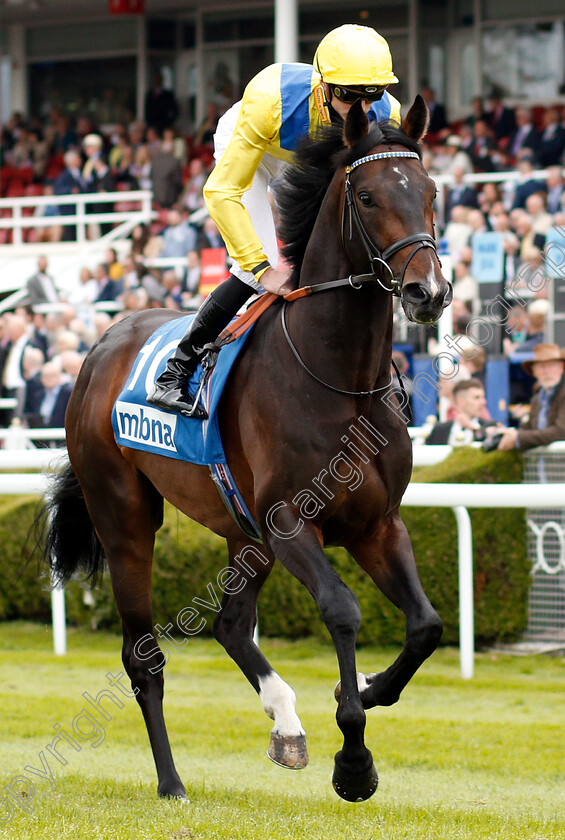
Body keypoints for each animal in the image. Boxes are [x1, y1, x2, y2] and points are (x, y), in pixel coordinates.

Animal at [40, 97, 450, 800]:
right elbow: (342, 609)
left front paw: (370, 689)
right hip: (125, 517)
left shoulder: (377, 523)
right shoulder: (290, 523)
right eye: (368, 197)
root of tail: (103, 343)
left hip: (243, 530)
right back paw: (172, 783)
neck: (338, 374)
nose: (429, 292)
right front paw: (354, 759)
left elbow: (426, 625)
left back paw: (285, 722)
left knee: (230, 624)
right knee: (142, 655)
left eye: (430, 192)